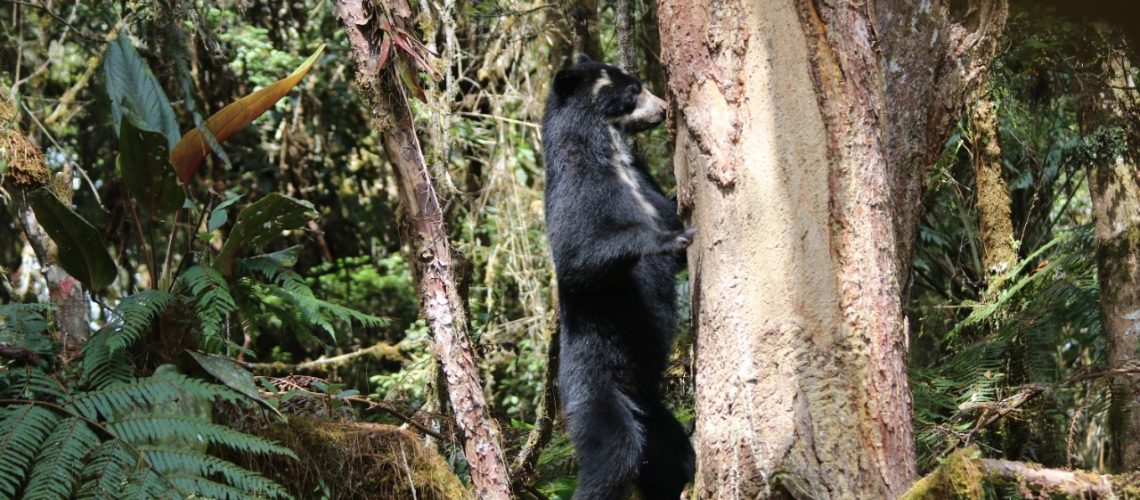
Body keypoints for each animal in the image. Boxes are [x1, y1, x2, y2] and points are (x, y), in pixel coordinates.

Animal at [542, 55, 696, 500]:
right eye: (632, 90)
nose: (663, 108)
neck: (610, 153)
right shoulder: (577, 197)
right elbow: (580, 258)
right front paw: (670, 238)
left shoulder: (645, 184)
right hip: (595, 391)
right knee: (613, 456)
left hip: (655, 417)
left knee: (675, 459)